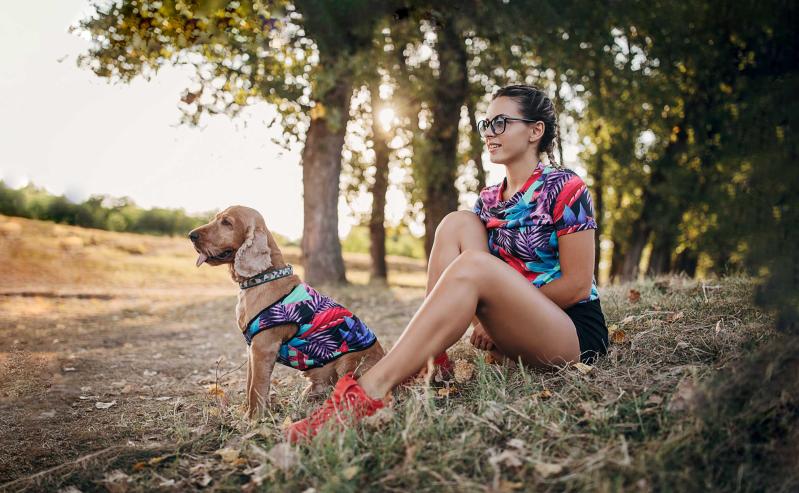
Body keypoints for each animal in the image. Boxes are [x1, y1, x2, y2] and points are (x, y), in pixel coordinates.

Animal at [189, 206, 386, 418]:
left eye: (227, 222)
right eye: (215, 218)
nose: (191, 235)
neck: (263, 278)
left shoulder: (263, 347)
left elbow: (256, 388)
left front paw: (253, 418)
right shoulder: (252, 349)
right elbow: (250, 383)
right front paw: (246, 412)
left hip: (349, 362)